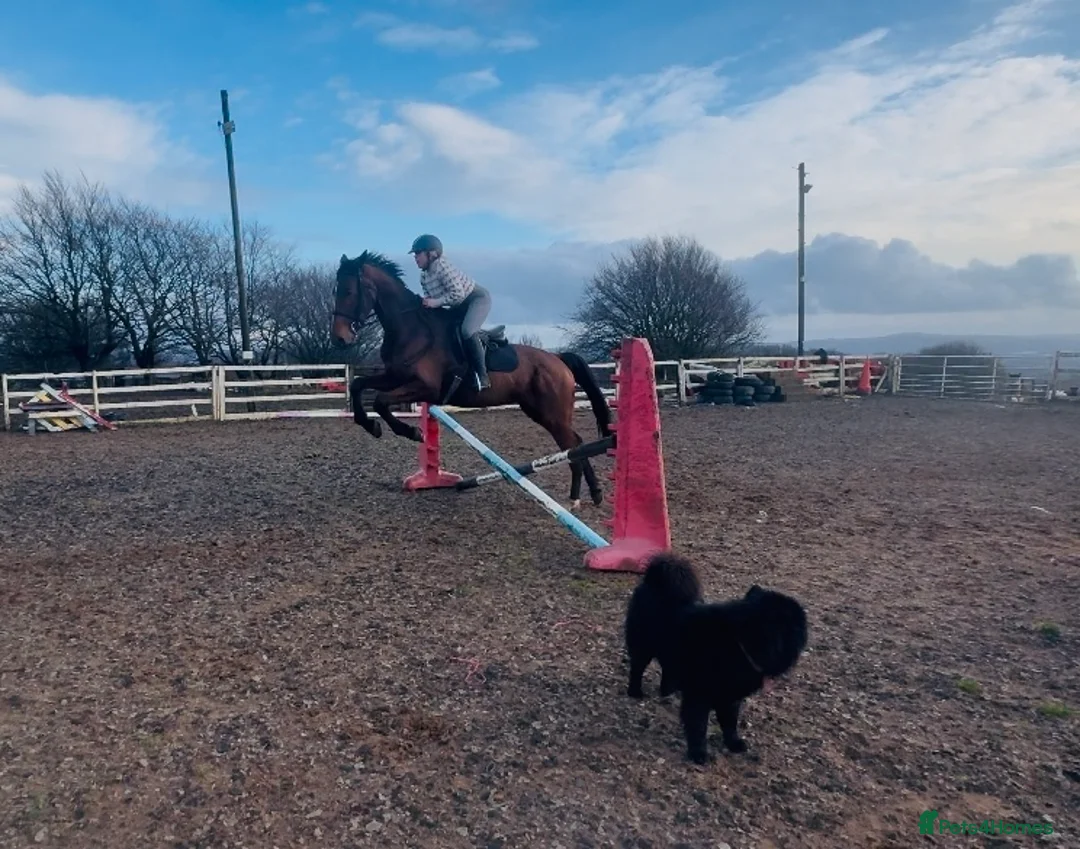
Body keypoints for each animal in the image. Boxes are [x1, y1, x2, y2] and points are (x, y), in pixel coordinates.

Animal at [330, 250, 611, 510]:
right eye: (336, 291)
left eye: (348, 291)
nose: (340, 339)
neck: (411, 328)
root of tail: (558, 358)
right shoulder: (395, 376)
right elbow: (359, 386)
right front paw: (371, 425)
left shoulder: (424, 387)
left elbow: (380, 401)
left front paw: (411, 432)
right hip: (540, 412)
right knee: (576, 444)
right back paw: (594, 494)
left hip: (552, 414)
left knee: (573, 446)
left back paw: (576, 498)